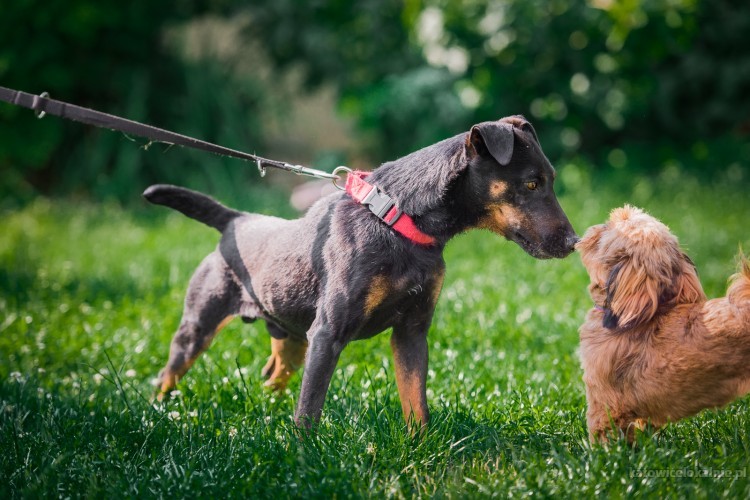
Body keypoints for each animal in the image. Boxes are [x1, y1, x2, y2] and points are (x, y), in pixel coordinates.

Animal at [144, 115, 580, 428]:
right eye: (531, 183)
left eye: (551, 180)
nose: (574, 241)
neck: (399, 220)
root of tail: (235, 221)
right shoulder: (328, 333)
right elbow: (309, 409)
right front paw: (303, 459)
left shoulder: (411, 331)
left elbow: (416, 401)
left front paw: (420, 449)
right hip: (200, 323)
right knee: (169, 372)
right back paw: (157, 412)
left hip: (291, 337)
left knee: (272, 373)